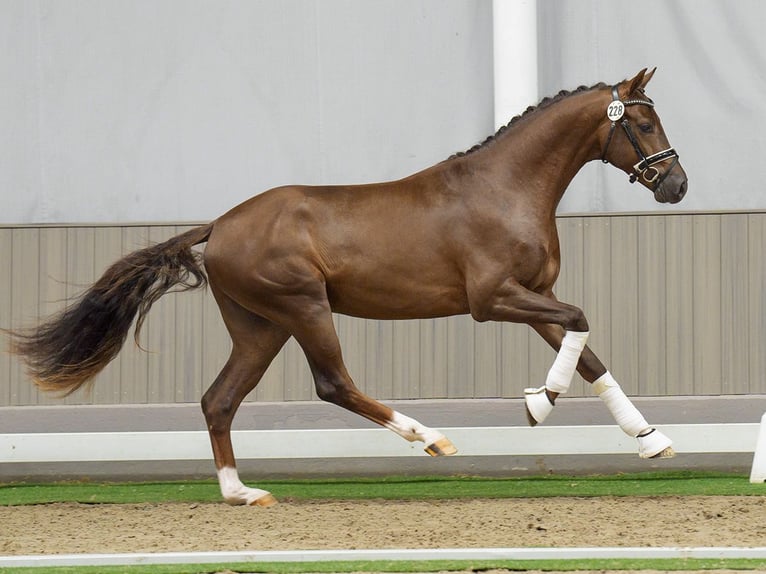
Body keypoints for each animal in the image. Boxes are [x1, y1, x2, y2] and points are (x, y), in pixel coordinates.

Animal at [6, 68, 688, 508]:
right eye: (643, 121)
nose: (675, 185)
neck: (505, 188)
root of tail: (220, 225)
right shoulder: (492, 299)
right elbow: (580, 321)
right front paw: (538, 402)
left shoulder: (532, 295)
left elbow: (587, 348)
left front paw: (651, 441)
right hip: (304, 308)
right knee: (332, 383)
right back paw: (432, 439)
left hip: (260, 327)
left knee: (218, 400)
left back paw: (241, 493)